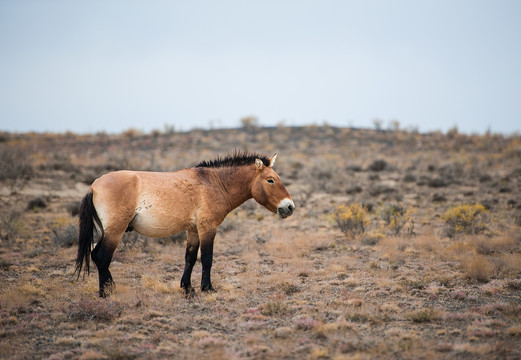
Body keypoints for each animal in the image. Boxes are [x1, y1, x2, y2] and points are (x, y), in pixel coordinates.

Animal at [73, 150, 294, 296]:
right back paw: (106, 292)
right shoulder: (208, 228)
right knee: (102, 257)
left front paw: (187, 288)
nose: (289, 206)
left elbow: (190, 258)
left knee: (96, 255)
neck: (215, 183)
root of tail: (94, 186)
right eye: (270, 180)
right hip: (115, 231)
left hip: (107, 231)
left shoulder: (193, 231)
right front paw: (207, 288)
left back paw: (110, 287)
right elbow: (207, 259)